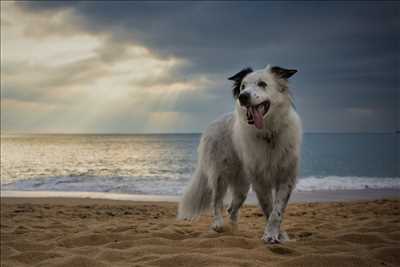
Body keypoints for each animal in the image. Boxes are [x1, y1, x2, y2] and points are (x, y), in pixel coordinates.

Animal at [177, 65, 302, 245]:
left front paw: (278, 235)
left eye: (262, 84)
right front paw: (271, 235)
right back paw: (218, 224)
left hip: (242, 186)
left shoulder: (286, 178)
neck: (268, 133)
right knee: (216, 202)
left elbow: (277, 211)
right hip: (220, 175)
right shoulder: (260, 181)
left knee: (231, 208)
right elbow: (269, 208)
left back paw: (235, 231)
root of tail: (212, 124)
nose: (243, 97)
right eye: (242, 86)